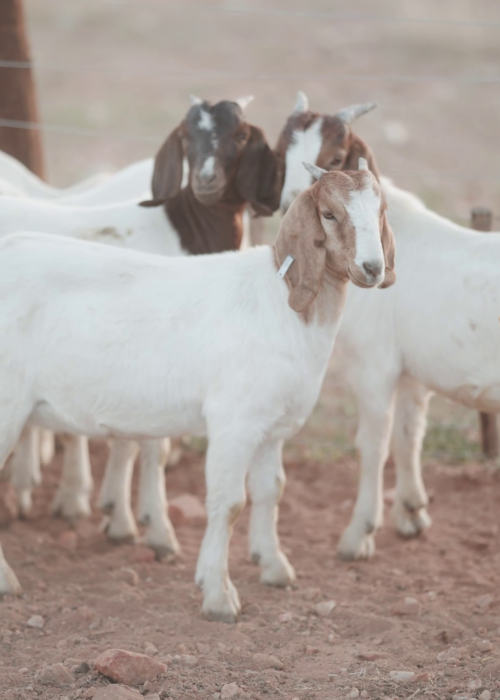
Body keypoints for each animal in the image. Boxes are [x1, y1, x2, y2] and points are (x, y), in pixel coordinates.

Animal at [0, 161, 394, 620]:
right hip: (7, 404)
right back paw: (7, 581)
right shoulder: (233, 422)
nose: (372, 267)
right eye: (329, 214)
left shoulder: (272, 426)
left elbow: (271, 491)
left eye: (380, 210)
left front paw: (274, 566)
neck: (281, 304)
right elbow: (229, 503)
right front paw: (218, 594)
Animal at [2, 95, 279, 556]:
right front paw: (152, 528)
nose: (206, 180)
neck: (187, 233)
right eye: (185, 136)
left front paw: (119, 514)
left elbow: (131, 439)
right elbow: (147, 445)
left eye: (240, 135)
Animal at [275, 91, 500, 559]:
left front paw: (358, 534)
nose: (290, 208)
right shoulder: (411, 370)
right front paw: (411, 513)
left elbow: (373, 443)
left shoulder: (374, 365)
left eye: (335, 156)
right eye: (283, 151)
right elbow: (408, 435)